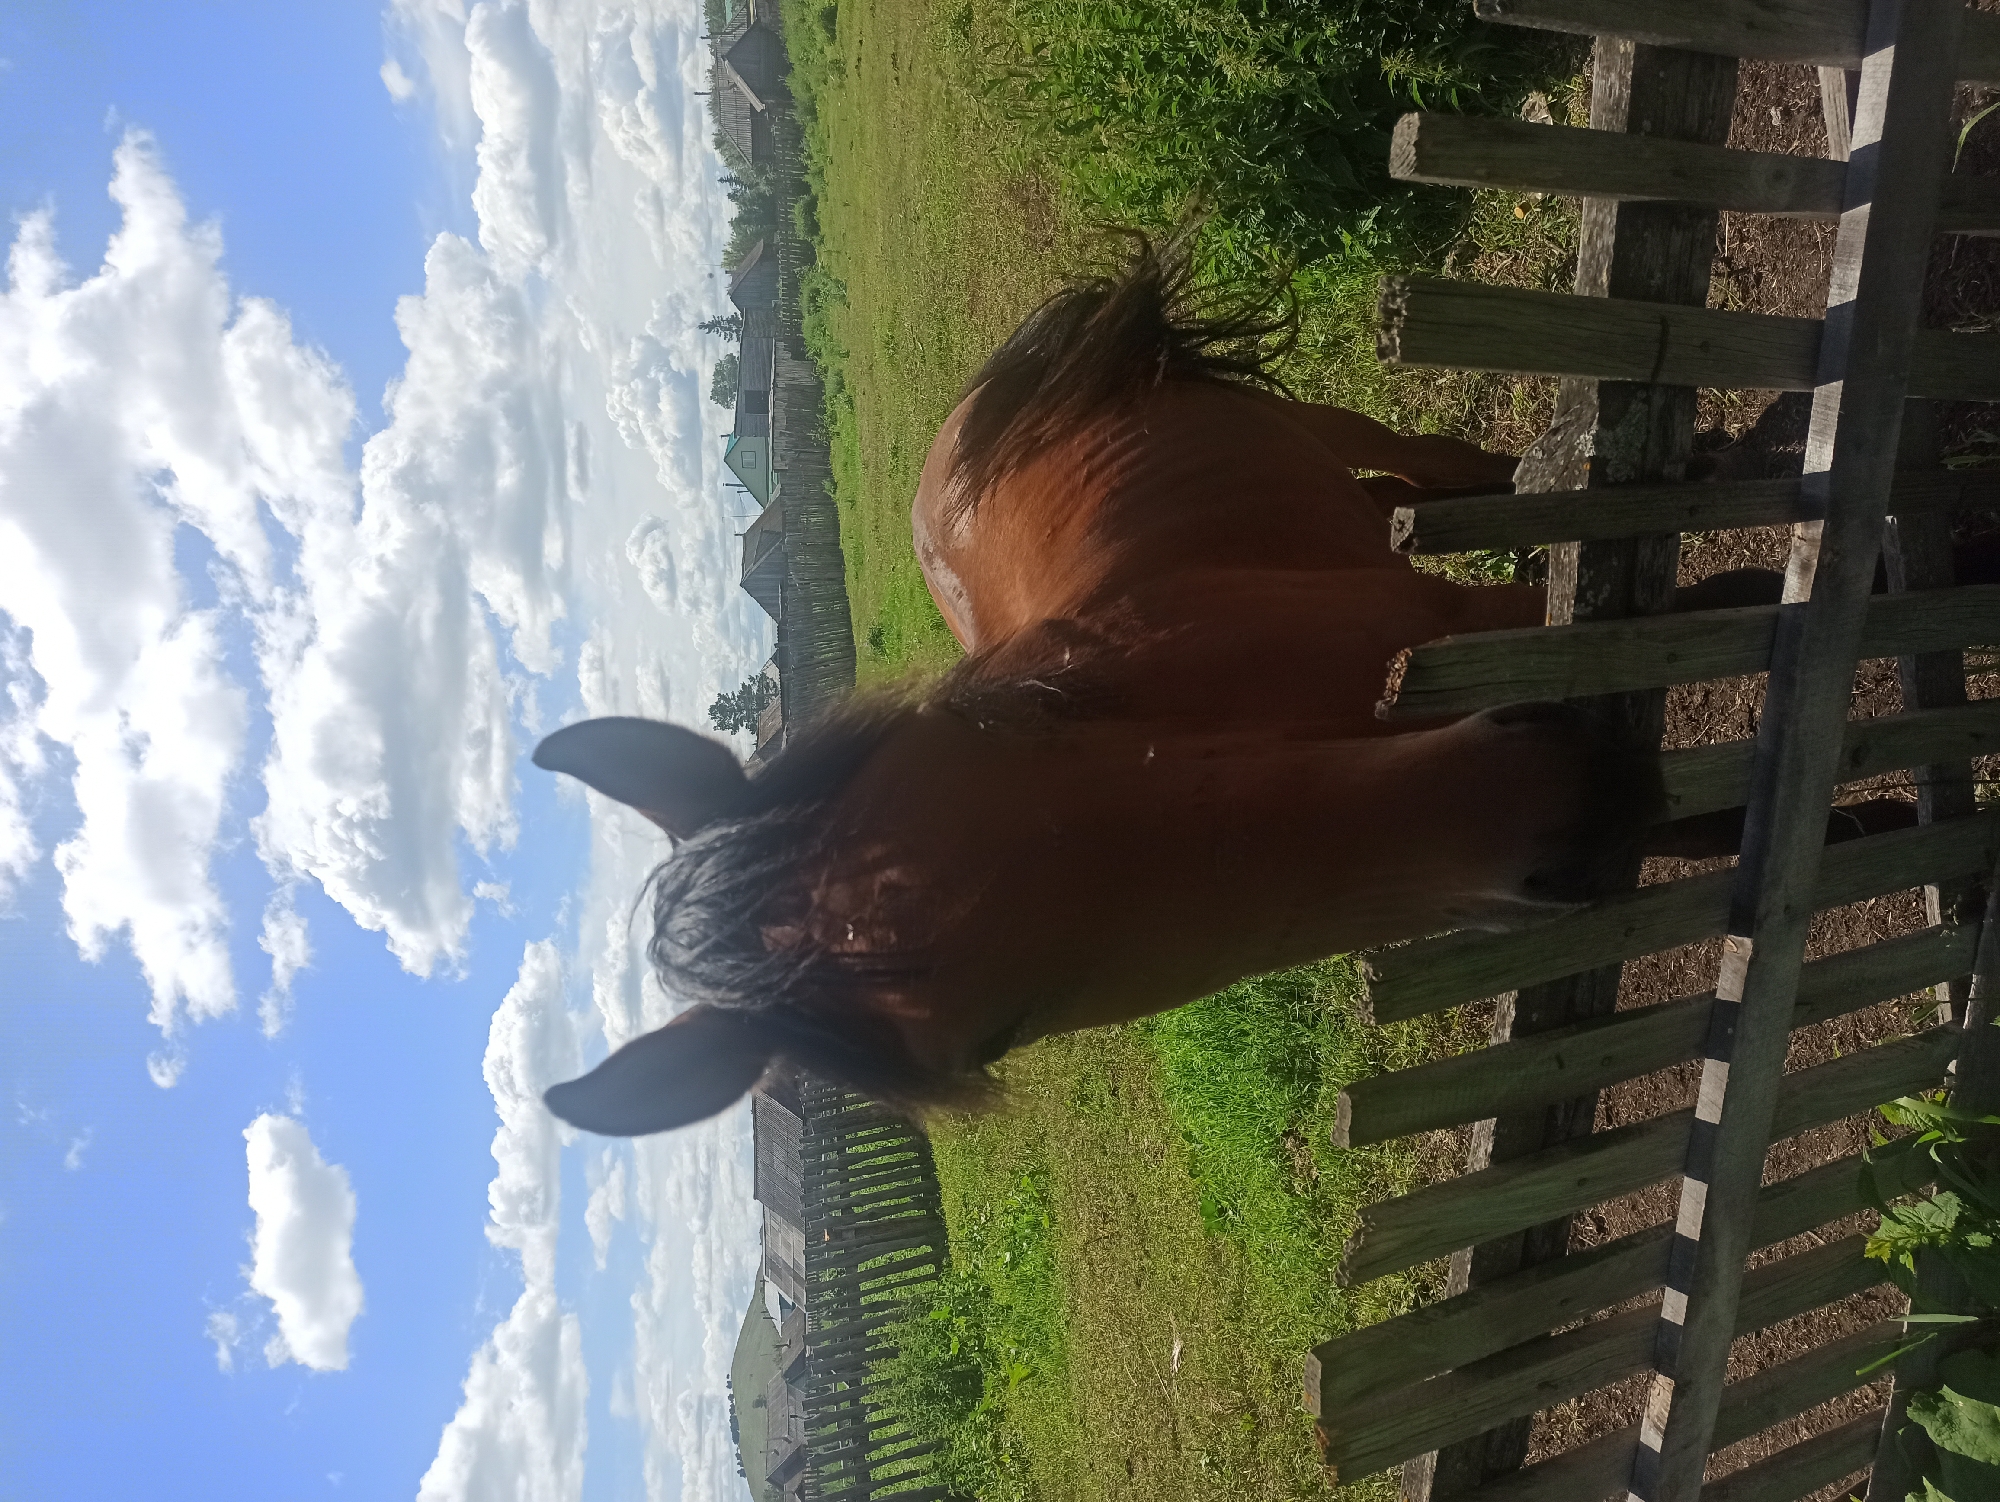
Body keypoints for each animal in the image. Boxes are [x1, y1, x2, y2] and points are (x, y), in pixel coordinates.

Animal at [533, 234, 1670, 1138]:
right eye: (998, 1035)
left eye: (1002, 733)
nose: (1570, 810)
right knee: (1393, 494)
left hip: (1314, 424)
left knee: (1406, 456)